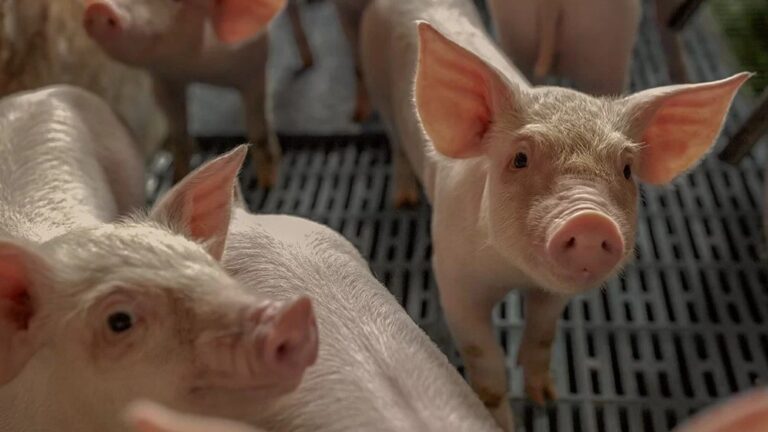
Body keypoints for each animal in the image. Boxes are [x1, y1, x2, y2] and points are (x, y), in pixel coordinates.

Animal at [83, 0, 288, 187]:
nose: (99, 7)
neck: (196, 69)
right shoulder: (165, 81)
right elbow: (179, 133)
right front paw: (178, 178)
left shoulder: (256, 65)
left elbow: (258, 127)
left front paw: (269, 182)